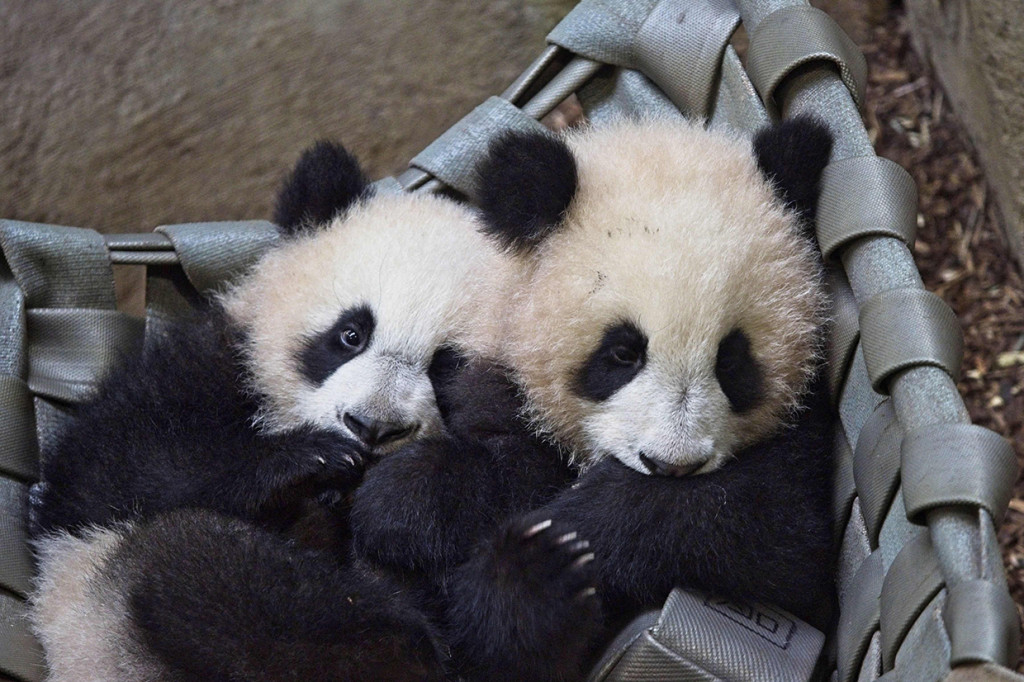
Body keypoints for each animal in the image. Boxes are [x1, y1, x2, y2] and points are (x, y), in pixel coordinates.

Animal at [26, 140, 592, 681]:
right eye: (351, 334)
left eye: (444, 364)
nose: (371, 428)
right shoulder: (213, 363)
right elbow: (117, 467)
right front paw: (306, 459)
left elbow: (523, 475)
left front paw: (403, 497)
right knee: (197, 570)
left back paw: (526, 581)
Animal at [349, 115, 837, 677]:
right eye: (623, 353)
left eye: (731, 359)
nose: (671, 465)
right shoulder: (501, 375)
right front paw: (407, 502)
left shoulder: (805, 437)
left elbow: (771, 527)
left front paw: (553, 548)